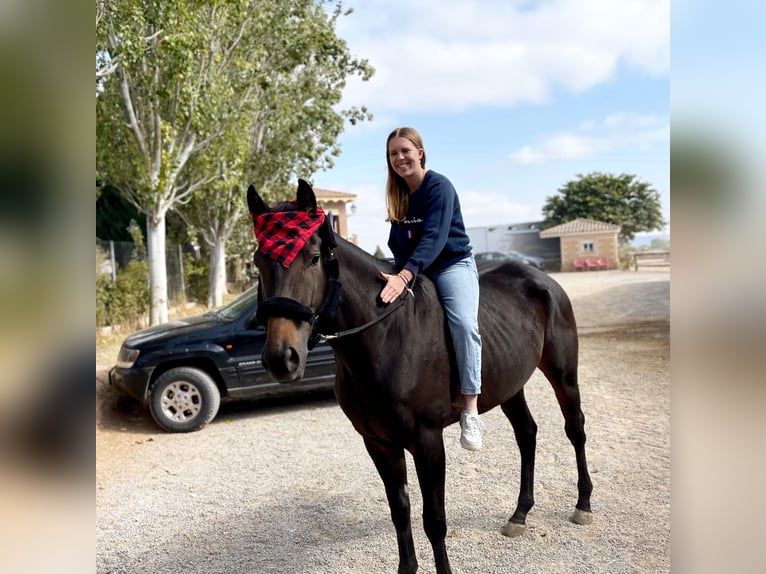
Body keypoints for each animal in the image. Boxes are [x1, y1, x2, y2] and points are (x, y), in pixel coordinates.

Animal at [249, 181, 596, 574]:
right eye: (258, 262)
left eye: (312, 258)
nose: (281, 358)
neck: (386, 335)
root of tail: (541, 279)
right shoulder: (378, 443)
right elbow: (400, 511)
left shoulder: (427, 441)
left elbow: (434, 520)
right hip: (510, 386)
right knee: (527, 434)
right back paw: (519, 514)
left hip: (563, 375)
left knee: (575, 428)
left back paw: (583, 504)